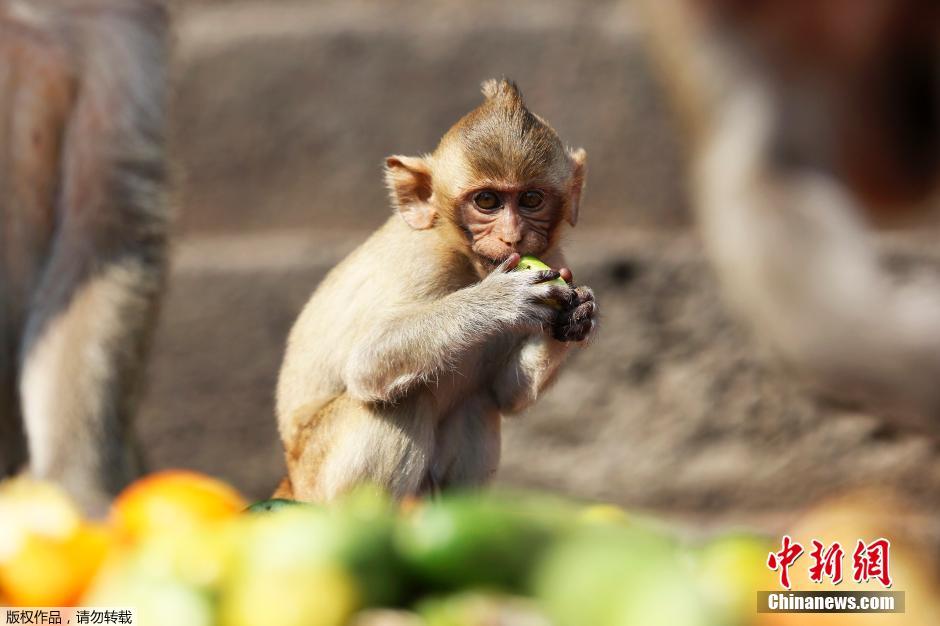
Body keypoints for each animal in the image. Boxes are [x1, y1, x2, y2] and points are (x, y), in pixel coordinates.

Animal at [276, 78, 596, 500]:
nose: (512, 237)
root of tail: (291, 478)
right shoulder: (424, 260)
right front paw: (499, 300)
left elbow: (507, 393)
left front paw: (576, 315)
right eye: (487, 200)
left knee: (477, 403)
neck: (469, 264)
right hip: (316, 471)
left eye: (531, 199)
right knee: (404, 399)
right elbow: (367, 359)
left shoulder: (553, 255)